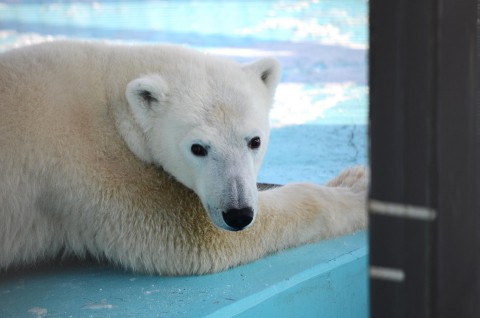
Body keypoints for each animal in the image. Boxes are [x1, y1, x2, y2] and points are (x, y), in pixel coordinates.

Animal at [0, 41, 366, 274]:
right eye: (198, 148)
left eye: (254, 141)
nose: (238, 214)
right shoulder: (92, 164)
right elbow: (191, 235)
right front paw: (356, 186)